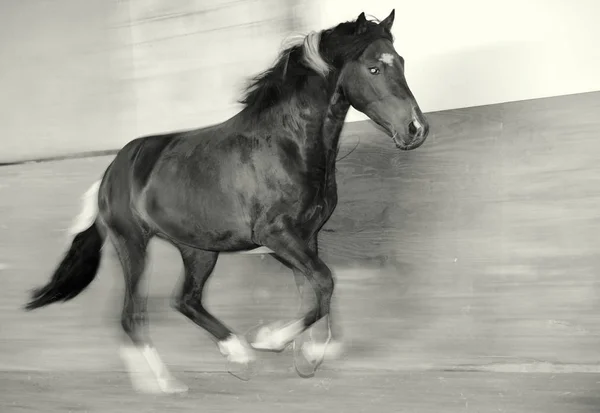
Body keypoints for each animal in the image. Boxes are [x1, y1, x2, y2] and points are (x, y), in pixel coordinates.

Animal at [22, 9, 426, 392]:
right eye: (374, 68)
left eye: (402, 61)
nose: (416, 129)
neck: (288, 145)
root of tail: (110, 172)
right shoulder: (276, 236)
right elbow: (324, 282)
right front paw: (272, 339)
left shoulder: (306, 237)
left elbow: (316, 289)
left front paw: (310, 354)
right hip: (133, 244)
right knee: (133, 314)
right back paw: (167, 383)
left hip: (199, 250)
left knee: (184, 300)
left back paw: (234, 353)